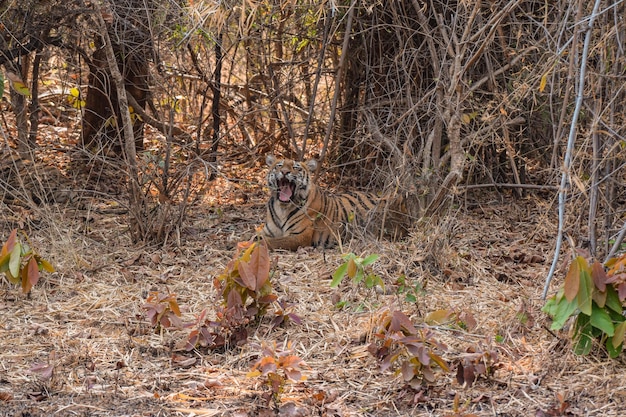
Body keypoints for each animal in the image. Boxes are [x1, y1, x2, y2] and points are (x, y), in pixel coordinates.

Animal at [260, 154, 410, 249]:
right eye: (279, 166)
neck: (282, 207)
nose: (285, 172)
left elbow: (270, 241)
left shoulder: (299, 236)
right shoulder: (268, 231)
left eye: (295, 167)